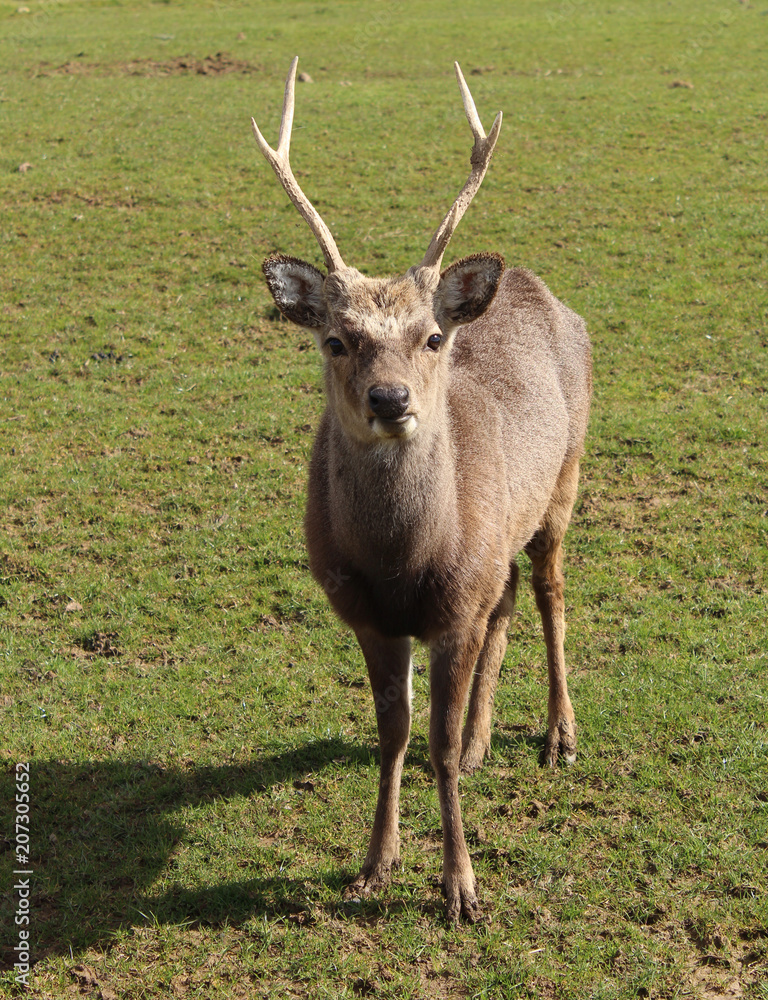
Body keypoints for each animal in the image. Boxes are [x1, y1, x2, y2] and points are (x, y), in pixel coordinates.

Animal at [251, 58, 592, 923]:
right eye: (336, 340)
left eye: (432, 337)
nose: (390, 399)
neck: (405, 563)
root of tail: (536, 286)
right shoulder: (369, 614)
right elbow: (395, 735)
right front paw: (375, 865)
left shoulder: (453, 611)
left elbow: (429, 743)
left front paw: (461, 888)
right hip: (507, 530)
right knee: (509, 595)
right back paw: (481, 741)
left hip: (567, 479)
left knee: (550, 591)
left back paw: (558, 736)